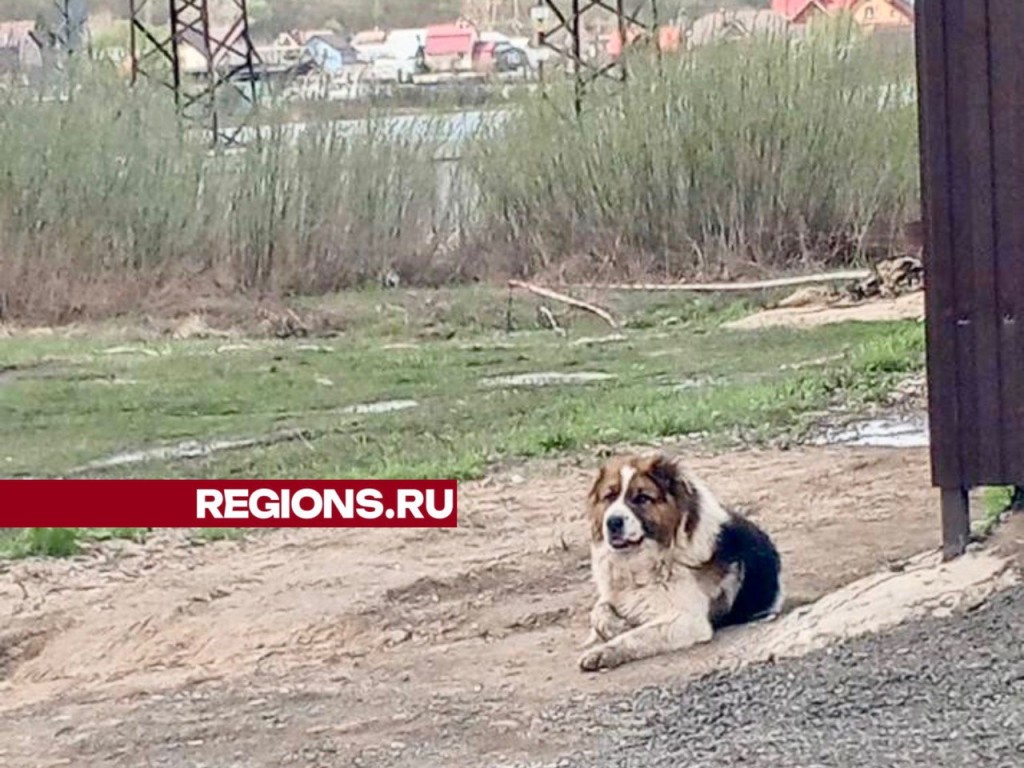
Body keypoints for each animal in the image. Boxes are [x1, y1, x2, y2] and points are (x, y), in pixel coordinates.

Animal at [577, 450, 782, 671]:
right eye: (609, 496)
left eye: (642, 498)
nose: (613, 522)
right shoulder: (611, 597)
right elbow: (598, 613)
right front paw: (617, 626)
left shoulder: (688, 620)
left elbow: (637, 635)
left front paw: (603, 652)